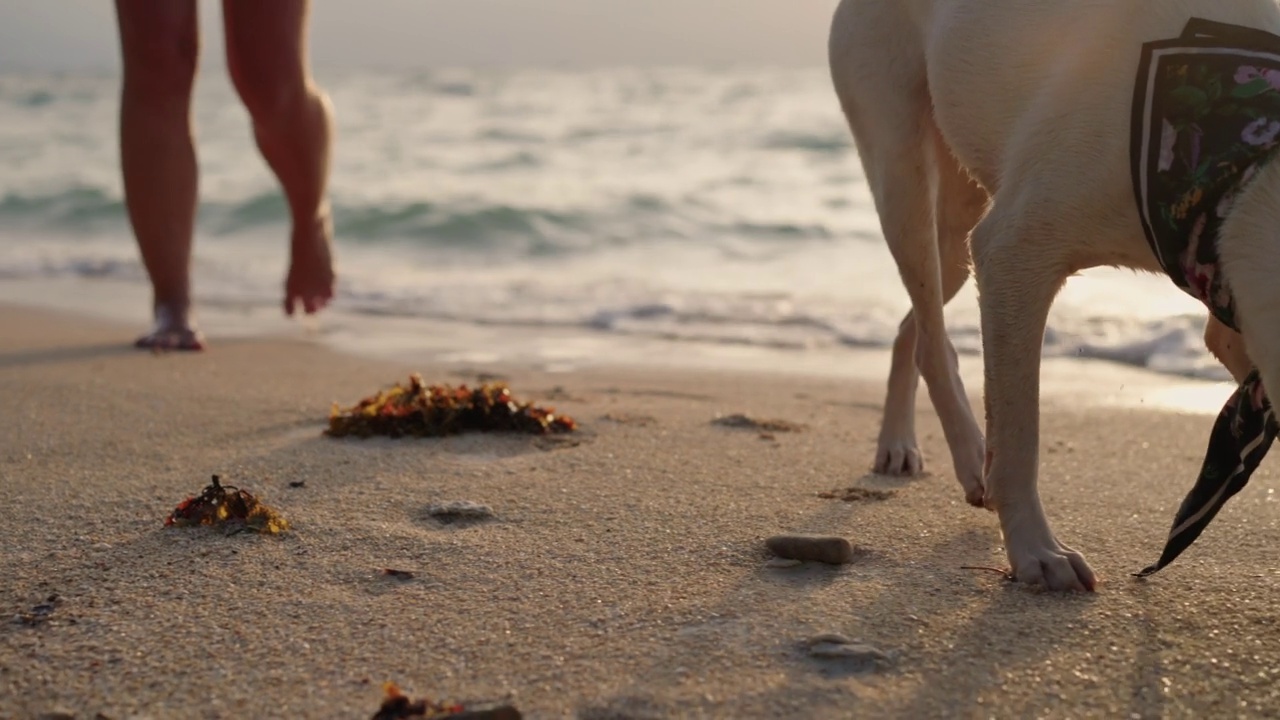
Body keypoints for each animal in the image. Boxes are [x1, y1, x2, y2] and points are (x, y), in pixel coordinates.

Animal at [824, 0, 1280, 589]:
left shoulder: (1223, 290)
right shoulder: (1012, 251)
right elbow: (1021, 435)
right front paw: (1037, 552)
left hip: (959, 220)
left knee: (915, 327)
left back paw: (900, 444)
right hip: (903, 168)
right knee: (930, 335)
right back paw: (969, 460)